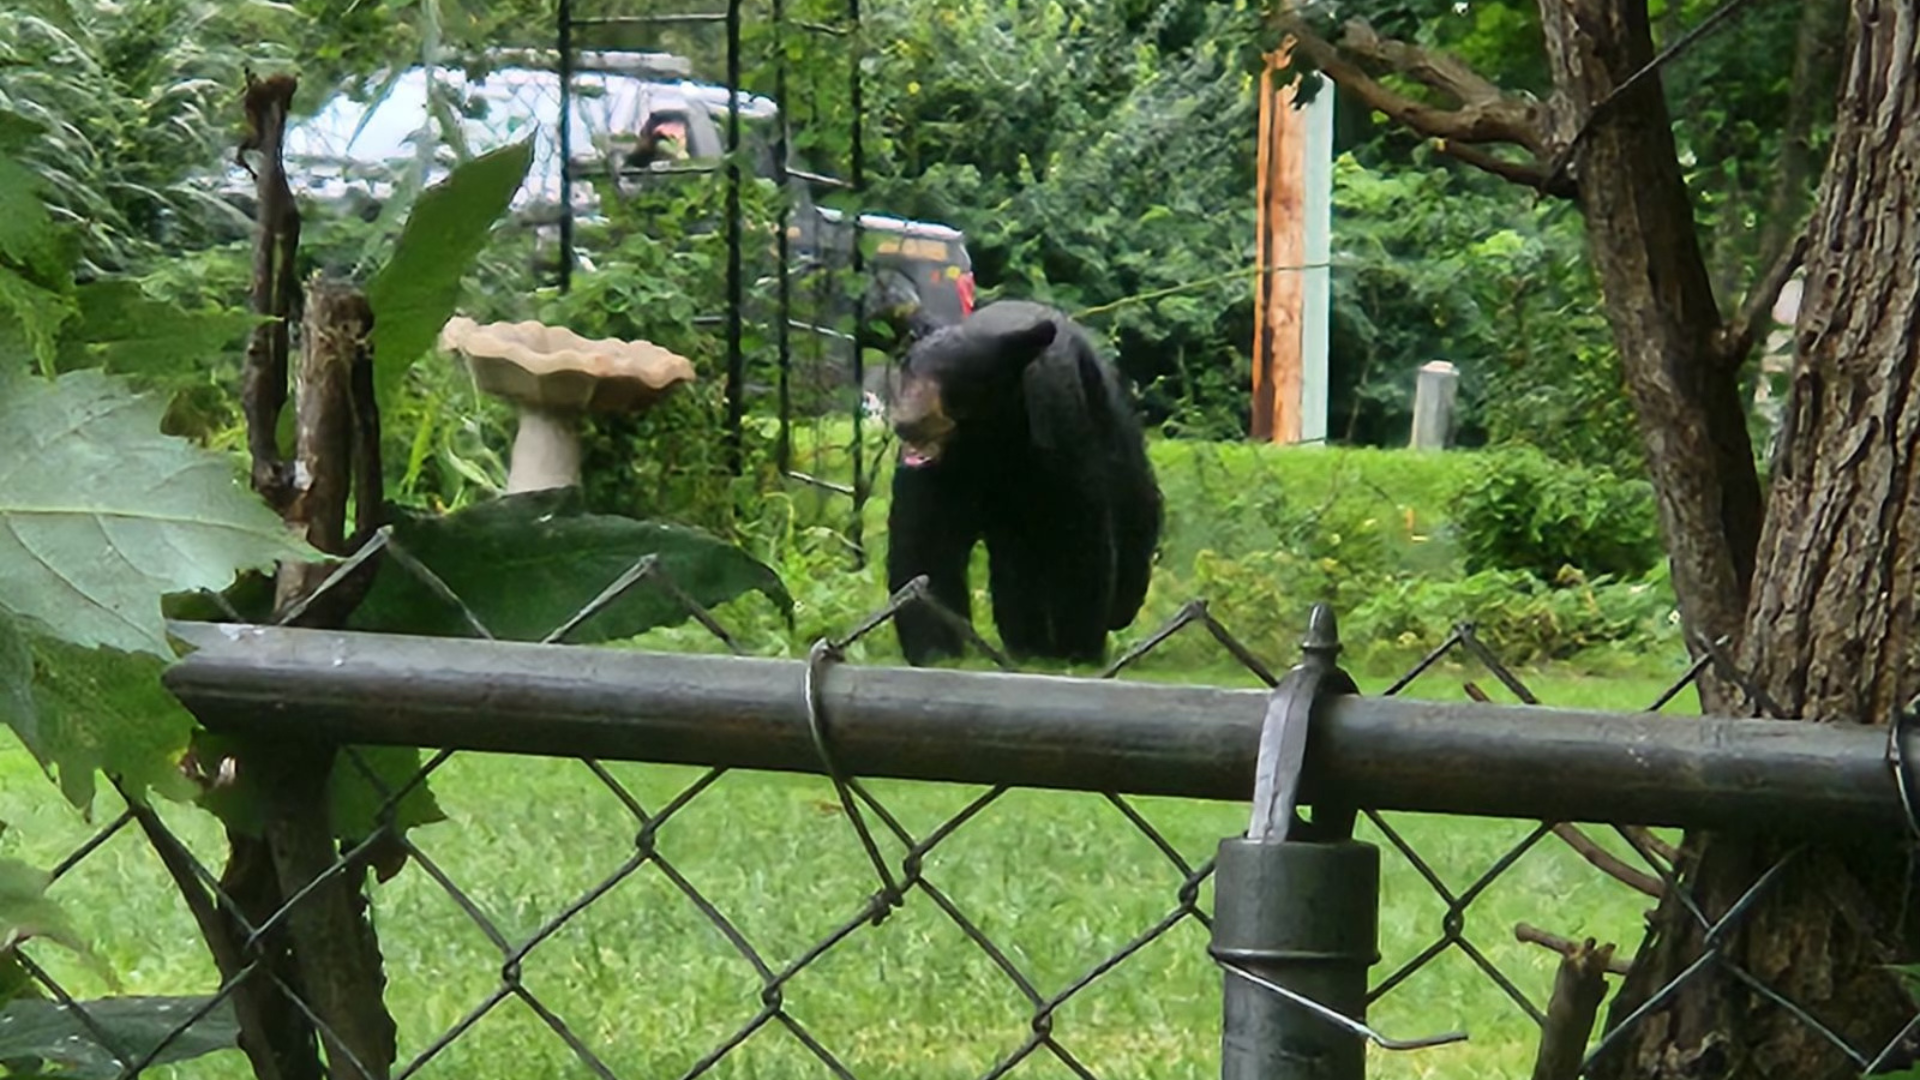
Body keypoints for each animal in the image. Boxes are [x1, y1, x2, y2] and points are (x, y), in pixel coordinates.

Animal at [879, 295, 1159, 664]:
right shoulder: (936, 474)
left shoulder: (1059, 442)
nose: (908, 423)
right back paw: (1028, 643)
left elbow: (1077, 538)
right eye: (909, 370)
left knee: (1135, 520)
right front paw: (936, 650)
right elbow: (925, 547)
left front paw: (1077, 647)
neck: (990, 443)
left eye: (953, 378)